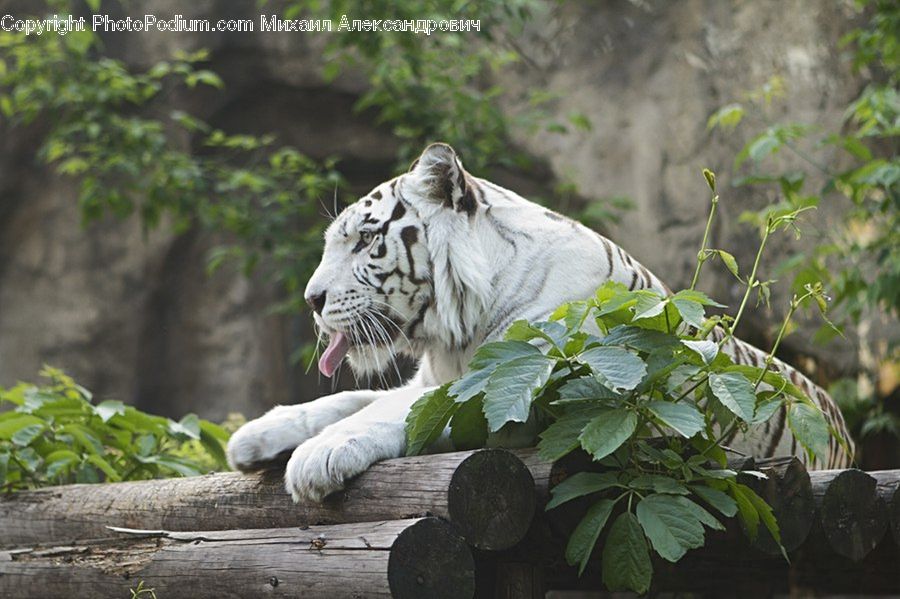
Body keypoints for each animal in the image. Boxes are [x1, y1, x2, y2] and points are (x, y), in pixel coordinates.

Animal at [226, 142, 853, 502]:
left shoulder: (518, 396)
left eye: (363, 240)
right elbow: (344, 400)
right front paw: (254, 435)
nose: (311, 299)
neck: (455, 331)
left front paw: (317, 458)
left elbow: (393, 410)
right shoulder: (431, 378)